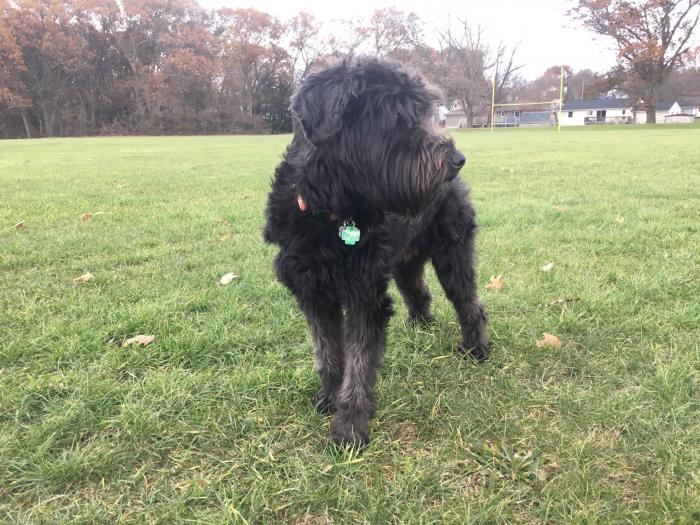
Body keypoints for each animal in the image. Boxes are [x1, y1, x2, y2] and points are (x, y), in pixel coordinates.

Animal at [264, 57, 490, 447]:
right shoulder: (312, 293)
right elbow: (327, 353)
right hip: (404, 264)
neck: (332, 213)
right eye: (397, 117)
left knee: (469, 302)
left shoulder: (365, 297)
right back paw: (419, 326)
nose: (458, 158)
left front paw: (350, 426)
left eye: (426, 112)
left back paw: (476, 349)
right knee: (420, 293)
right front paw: (328, 398)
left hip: (453, 256)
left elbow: (358, 365)